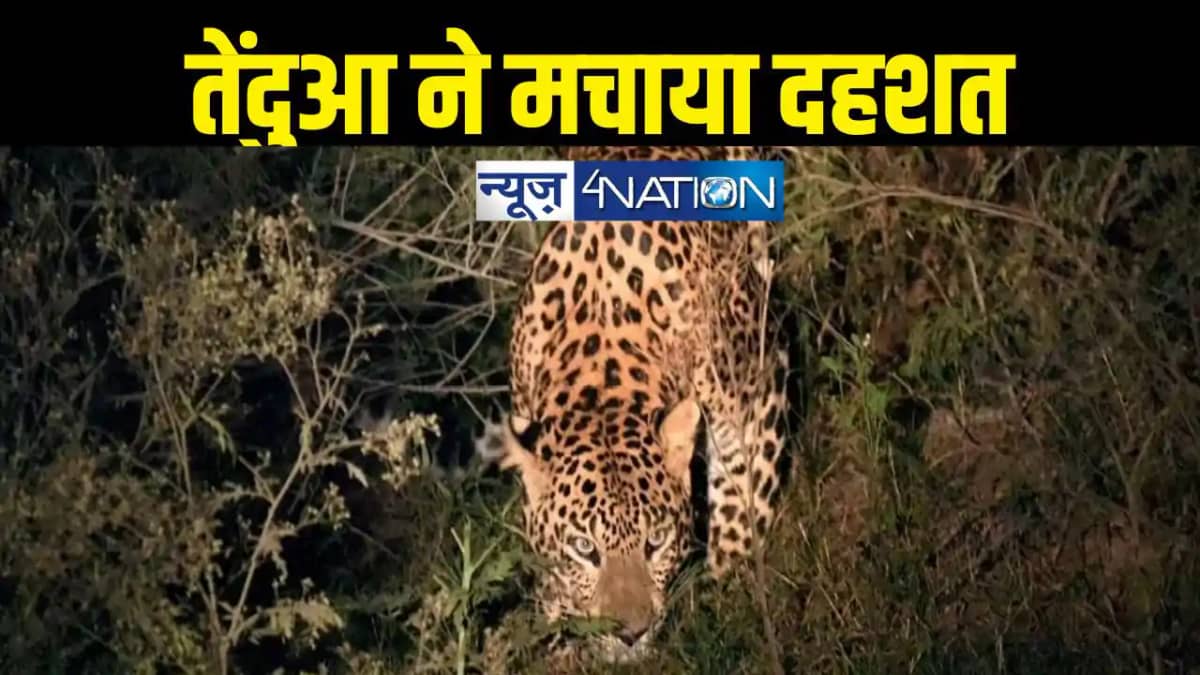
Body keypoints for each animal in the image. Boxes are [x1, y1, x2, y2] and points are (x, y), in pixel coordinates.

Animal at [474, 145, 793, 664]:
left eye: (656, 541)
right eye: (583, 547)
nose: (631, 633)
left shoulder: (759, 388)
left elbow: (741, 509)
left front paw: (730, 594)